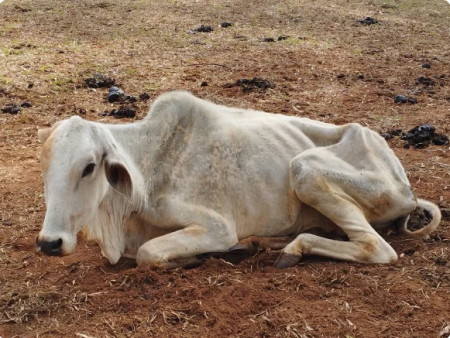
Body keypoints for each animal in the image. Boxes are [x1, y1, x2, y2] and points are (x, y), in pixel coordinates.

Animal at [37, 90, 442, 270]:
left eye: (89, 166)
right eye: (44, 166)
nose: (49, 243)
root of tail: (403, 180)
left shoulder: (217, 225)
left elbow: (150, 254)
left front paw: (197, 258)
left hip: (305, 170)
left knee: (378, 249)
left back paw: (290, 250)